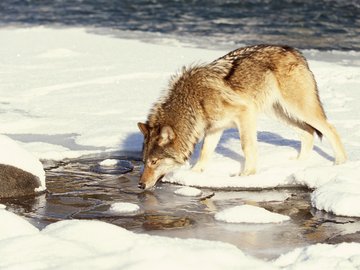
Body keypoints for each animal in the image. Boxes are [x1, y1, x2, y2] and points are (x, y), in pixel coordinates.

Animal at [137, 44, 346, 190]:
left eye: (154, 162)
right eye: (144, 161)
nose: (140, 184)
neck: (193, 102)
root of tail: (296, 52)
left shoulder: (245, 114)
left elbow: (247, 147)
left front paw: (247, 175)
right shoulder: (215, 128)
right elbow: (205, 153)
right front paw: (194, 174)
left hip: (299, 109)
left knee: (330, 129)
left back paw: (340, 163)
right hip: (280, 113)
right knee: (308, 133)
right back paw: (297, 163)